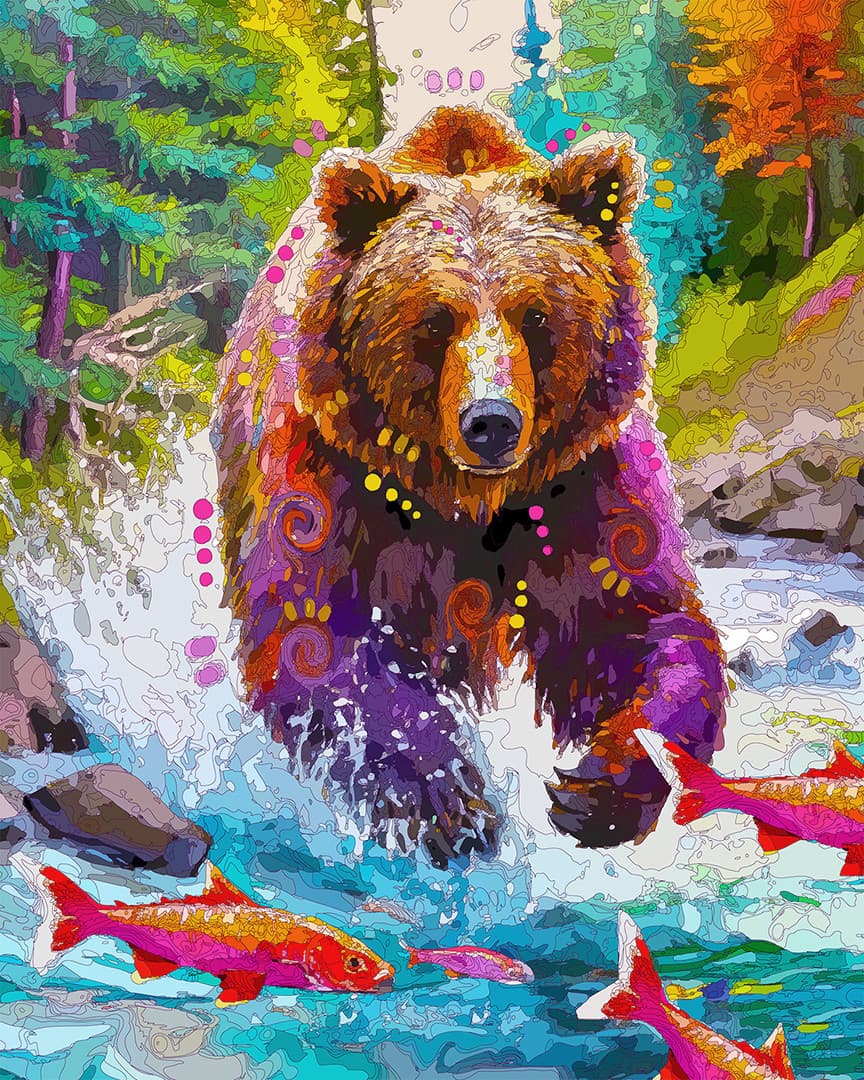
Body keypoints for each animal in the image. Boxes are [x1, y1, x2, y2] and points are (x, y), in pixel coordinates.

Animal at [213, 107, 728, 866]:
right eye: (434, 318)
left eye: (536, 314)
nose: (492, 421)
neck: (464, 496)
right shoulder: (333, 476)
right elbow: (315, 637)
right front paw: (449, 802)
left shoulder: (582, 482)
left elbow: (645, 623)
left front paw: (600, 787)